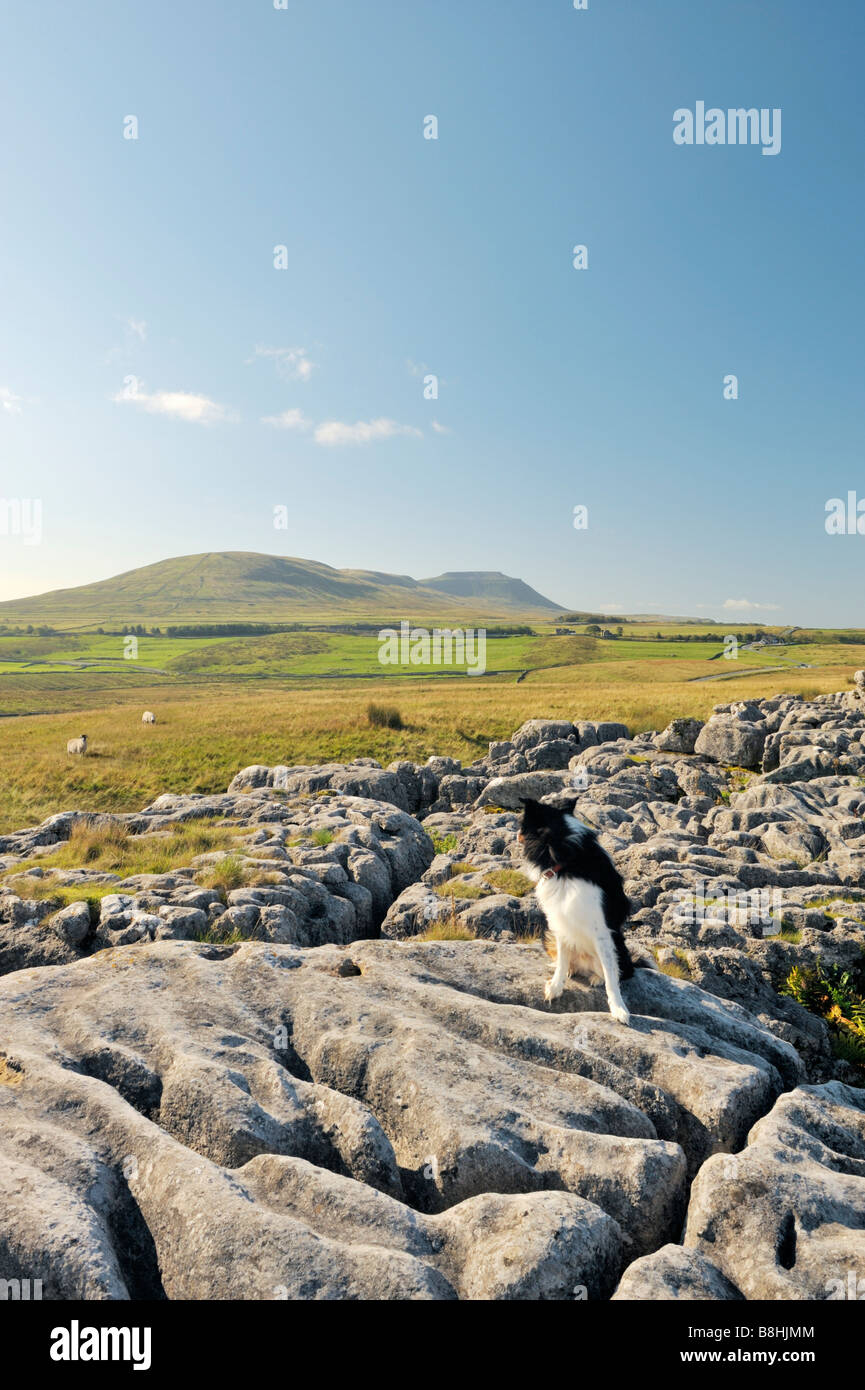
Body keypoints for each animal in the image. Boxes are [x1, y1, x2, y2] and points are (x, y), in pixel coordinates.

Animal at [522, 795, 636, 1023]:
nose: (518, 836)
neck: (565, 859)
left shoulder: (602, 931)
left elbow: (612, 976)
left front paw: (619, 1009)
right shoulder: (559, 920)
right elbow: (562, 958)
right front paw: (555, 987)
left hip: (618, 947)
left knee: (616, 971)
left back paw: (596, 978)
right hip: (547, 934)